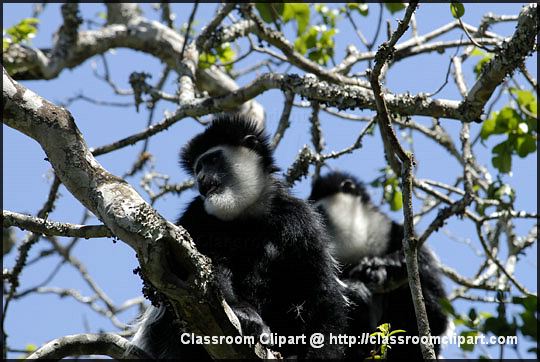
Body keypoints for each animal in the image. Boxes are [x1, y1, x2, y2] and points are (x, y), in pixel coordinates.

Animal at [132, 116, 348, 360]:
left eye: (213, 159)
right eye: (198, 168)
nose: (201, 178)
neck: (246, 215)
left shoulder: (302, 221)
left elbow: (320, 292)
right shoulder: (195, 215)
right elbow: (197, 270)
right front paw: (244, 315)